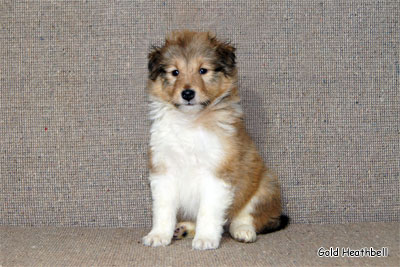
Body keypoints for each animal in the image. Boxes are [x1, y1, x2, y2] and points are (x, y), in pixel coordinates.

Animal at [142, 31, 290, 251]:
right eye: (175, 72)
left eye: (203, 70)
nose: (187, 93)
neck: (190, 122)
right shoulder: (163, 169)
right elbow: (163, 209)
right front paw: (158, 235)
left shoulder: (218, 172)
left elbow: (208, 211)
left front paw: (205, 239)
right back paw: (183, 228)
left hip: (265, 184)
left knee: (245, 217)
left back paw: (243, 231)